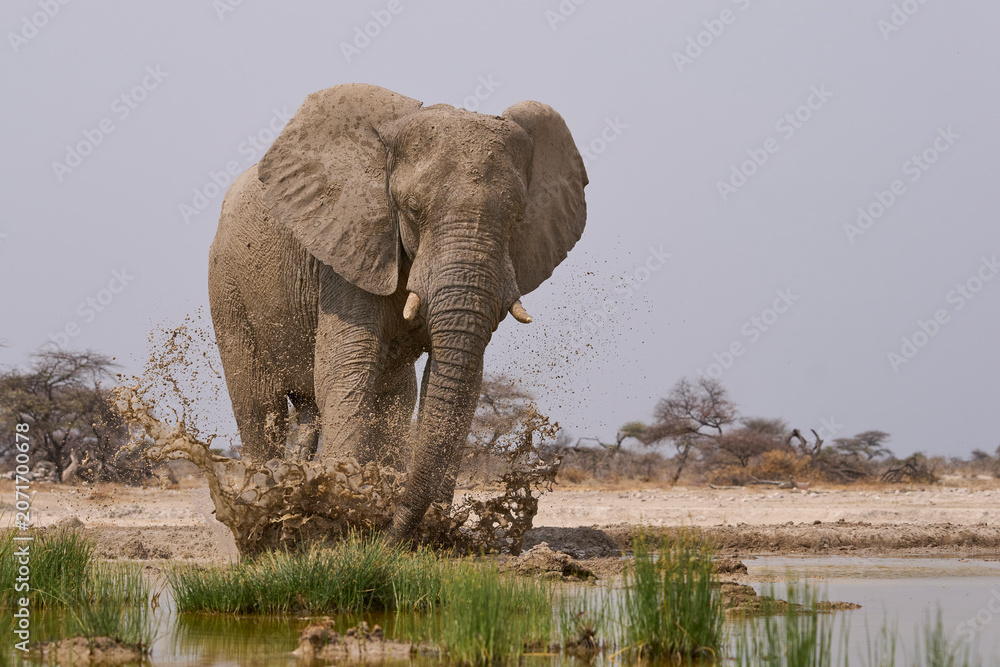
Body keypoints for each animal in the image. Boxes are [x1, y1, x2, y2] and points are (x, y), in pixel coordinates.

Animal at [208, 83, 587, 541]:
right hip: (227, 285)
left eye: (516, 218)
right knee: (260, 405)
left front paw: (427, 532)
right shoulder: (348, 249)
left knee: (378, 402)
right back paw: (262, 525)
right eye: (412, 209)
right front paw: (343, 518)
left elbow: (463, 377)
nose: (391, 534)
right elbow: (346, 369)